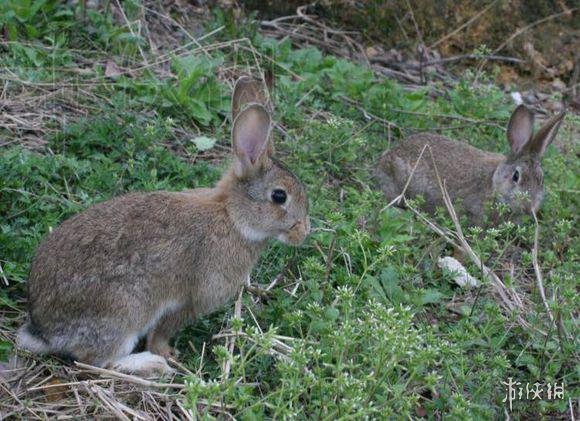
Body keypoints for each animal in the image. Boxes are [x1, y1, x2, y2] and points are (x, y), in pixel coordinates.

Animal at [15, 76, 310, 378]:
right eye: (279, 196)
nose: (304, 231)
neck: (232, 218)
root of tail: (43, 330)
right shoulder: (189, 301)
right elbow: (161, 334)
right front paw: (167, 354)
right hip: (124, 313)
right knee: (96, 362)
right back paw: (150, 364)